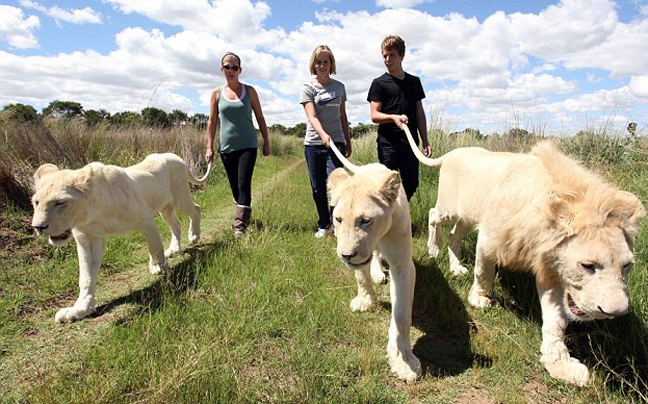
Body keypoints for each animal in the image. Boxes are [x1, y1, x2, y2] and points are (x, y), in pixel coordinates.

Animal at [31, 153, 211, 324]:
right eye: (36, 202)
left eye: (60, 202)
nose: (38, 226)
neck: (92, 212)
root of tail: (174, 156)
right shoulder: (88, 239)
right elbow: (86, 276)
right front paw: (80, 309)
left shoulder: (145, 219)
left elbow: (154, 247)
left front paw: (157, 266)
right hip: (165, 208)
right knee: (176, 225)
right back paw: (173, 249)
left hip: (180, 198)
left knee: (196, 209)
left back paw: (194, 235)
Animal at [330, 144, 420, 382]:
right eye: (338, 219)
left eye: (366, 220)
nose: (346, 255)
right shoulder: (360, 257)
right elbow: (361, 276)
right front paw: (365, 300)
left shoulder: (402, 264)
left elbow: (401, 314)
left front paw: (404, 360)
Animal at [404, 128, 644, 386]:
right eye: (587, 265)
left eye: (627, 265)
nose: (616, 313)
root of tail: (451, 153)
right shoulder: (490, 236)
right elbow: (483, 270)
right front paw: (479, 298)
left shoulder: (552, 267)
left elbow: (555, 320)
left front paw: (561, 364)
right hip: (450, 209)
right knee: (433, 215)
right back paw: (433, 249)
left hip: (467, 215)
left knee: (454, 236)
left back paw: (456, 267)